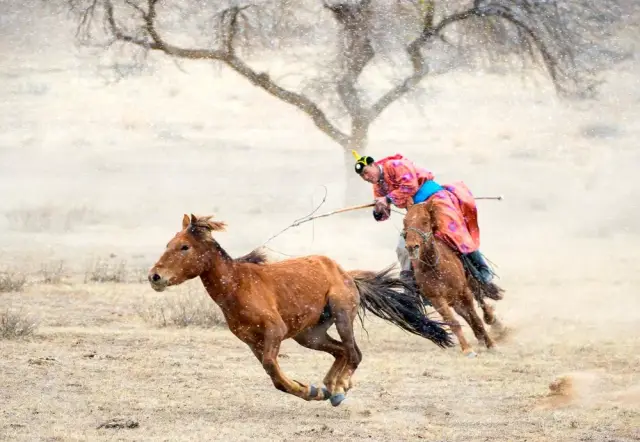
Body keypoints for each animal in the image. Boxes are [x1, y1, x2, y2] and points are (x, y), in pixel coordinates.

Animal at [149, 214, 456, 408]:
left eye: (184, 247)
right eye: (168, 245)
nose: (155, 276)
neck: (238, 285)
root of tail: (346, 275)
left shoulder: (275, 331)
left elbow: (272, 367)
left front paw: (307, 389)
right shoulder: (251, 341)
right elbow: (273, 374)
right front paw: (312, 390)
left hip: (341, 315)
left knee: (354, 353)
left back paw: (340, 387)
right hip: (310, 335)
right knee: (341, 351)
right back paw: (331, 387)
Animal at [404, 202, 504, 358]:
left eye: (425, 221)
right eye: (405, 222)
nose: (411, 247)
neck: (435, 266)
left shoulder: (464, 292)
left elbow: (476, 318)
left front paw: (492, 345)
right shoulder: (437, 299)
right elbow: (453, 322)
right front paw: (467, 349)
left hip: (470, 283)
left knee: (480, 301)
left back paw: (491, 320)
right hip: (453, 300)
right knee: (464, 314)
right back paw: (480, 336)